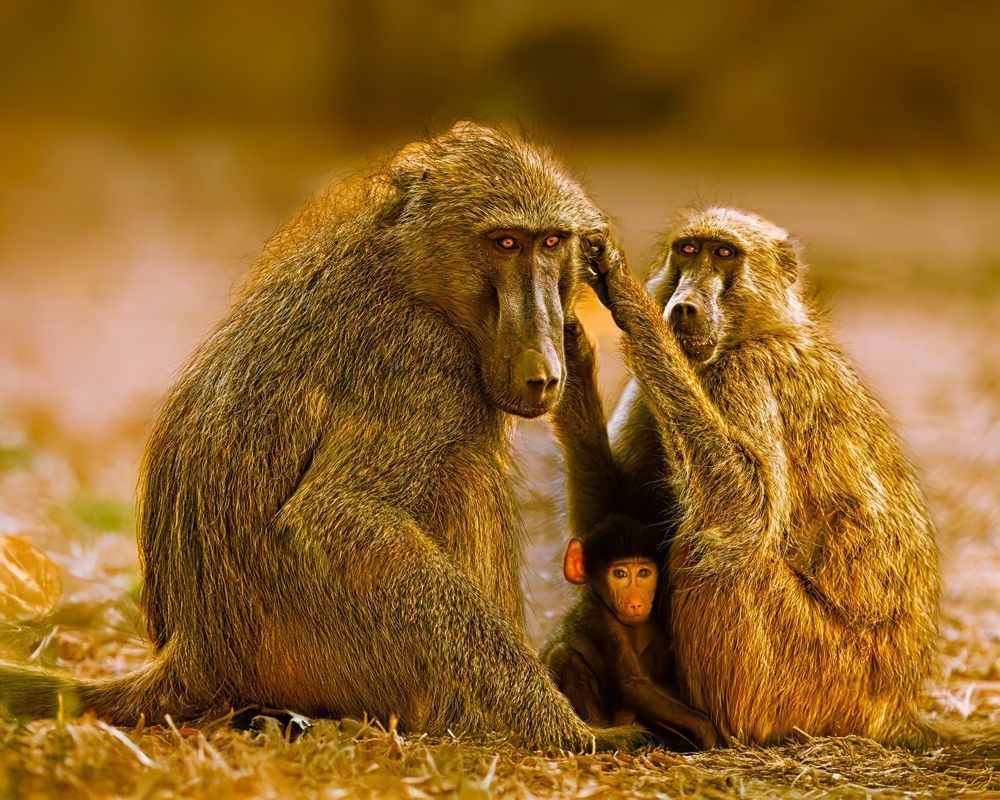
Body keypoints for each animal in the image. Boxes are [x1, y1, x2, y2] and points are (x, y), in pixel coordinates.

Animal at [0, 122, 652, 752]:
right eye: (506, 243)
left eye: (552, 243)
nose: (545, 370)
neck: (410, 272)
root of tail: (196, 656)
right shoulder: (421, 361)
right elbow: (336, 514)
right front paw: (564, 730)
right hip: (334, 657)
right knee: (464, 471)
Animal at [540, 515, 718, 749]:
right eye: (620, 574)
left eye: (643, 573)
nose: (635, 602)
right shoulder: (602, 620)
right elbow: (630, 684)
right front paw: (705, 729)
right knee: (563, 654)